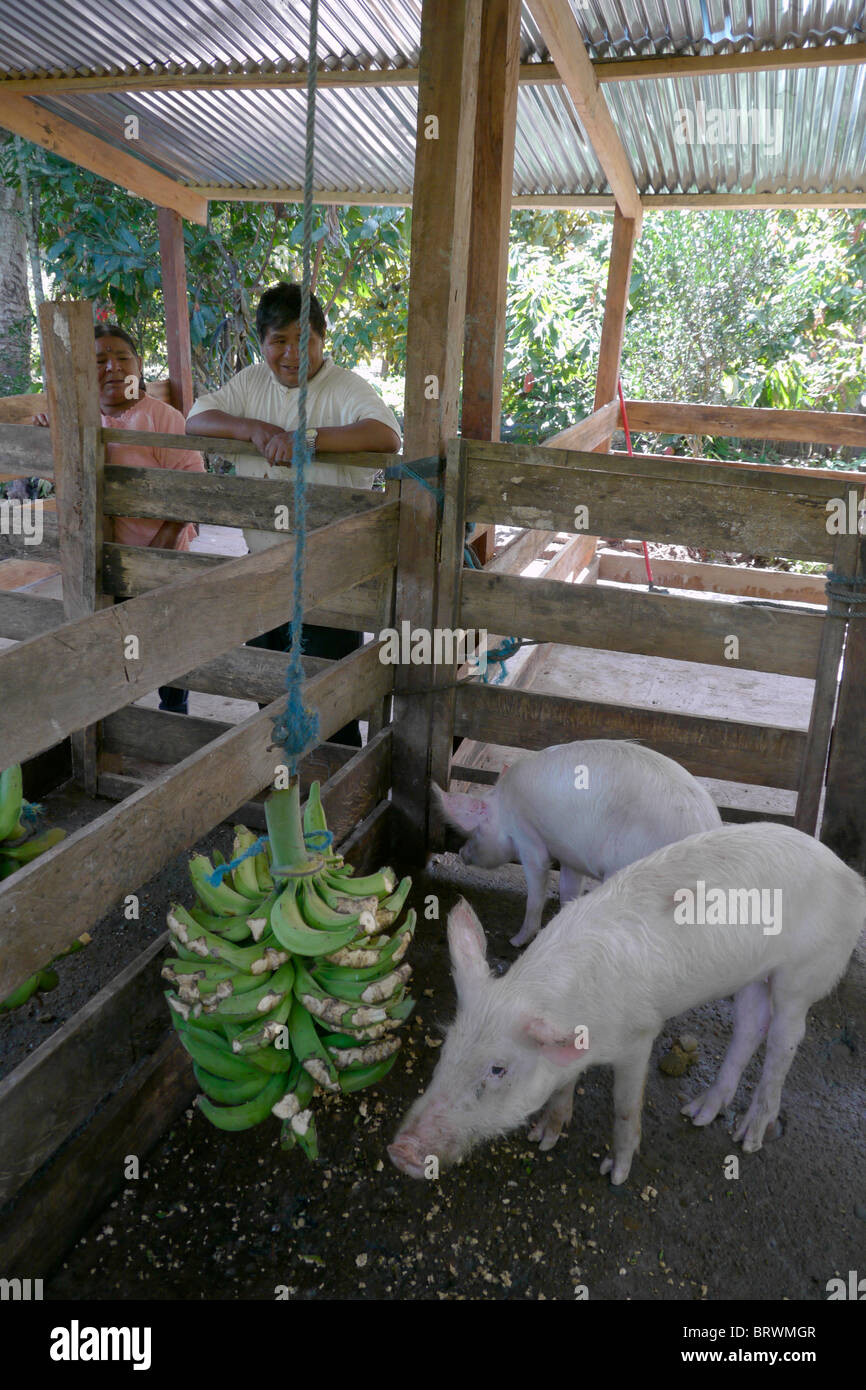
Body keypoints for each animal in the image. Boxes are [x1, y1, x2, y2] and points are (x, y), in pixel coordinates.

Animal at [391, 822, 866, 1184]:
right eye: (447, 1048)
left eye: (497, 1069)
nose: (400, 1150)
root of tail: (850, 877)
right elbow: (561, 1085)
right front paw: (543, 1138)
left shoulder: (640, 1035)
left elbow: (624, 1106)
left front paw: (615, 1173)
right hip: (751, 974)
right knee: (751, 1023)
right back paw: (698, 1113)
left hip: (803, 974)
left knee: (786, 1039)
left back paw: (746, 1138)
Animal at [436, 739, 722, 945]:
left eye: (474, 831)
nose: (461, 851)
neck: (505, 808)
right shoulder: (570, 856)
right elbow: (567, 891)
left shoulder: (529, 839)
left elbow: (536, 888)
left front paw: (516, 941)